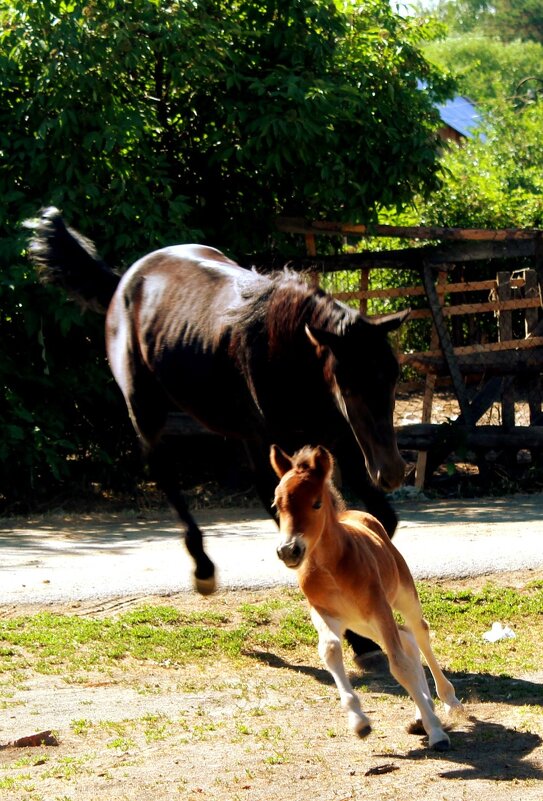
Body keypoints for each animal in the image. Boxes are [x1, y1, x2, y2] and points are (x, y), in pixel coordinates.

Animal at [27, 209, 406, 596]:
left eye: (393, 379)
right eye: (350, 387)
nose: (392, 471)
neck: (288, 355)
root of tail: (124, 283)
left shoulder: (339, 441)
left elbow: (379, 520)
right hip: (147, 411)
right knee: (165, 473)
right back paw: (203, 566)